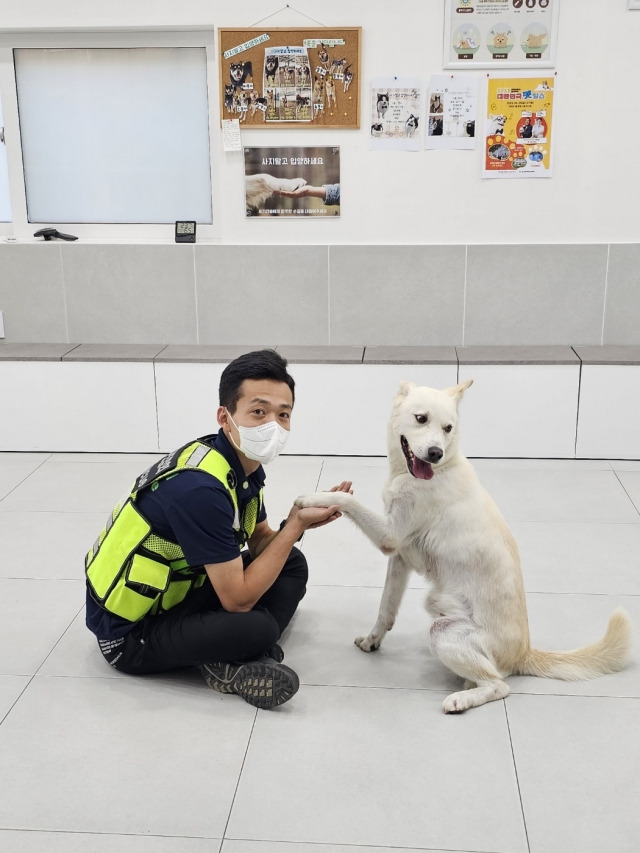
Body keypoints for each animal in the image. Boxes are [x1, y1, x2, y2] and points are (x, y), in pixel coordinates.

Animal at [298, 380, 632, 712]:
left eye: (448, 428)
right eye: (421, 419)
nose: (435, 453)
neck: (428, 471)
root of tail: (524, 652)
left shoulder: (389, 537)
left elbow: (345, 499)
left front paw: (312, 498)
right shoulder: (400, 558)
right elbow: (385, 609)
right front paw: (372, 641)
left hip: (443, 633)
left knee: (499, 685)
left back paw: (461, 699)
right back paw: (466, 685)